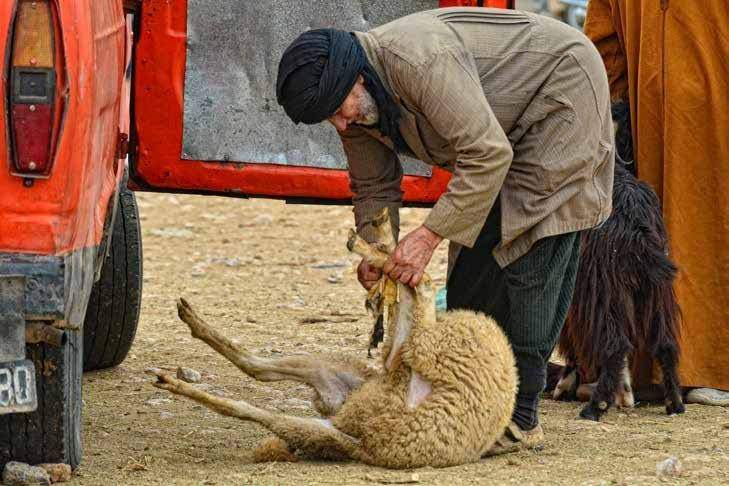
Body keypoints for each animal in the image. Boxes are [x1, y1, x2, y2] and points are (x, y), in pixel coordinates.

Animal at [553, 161, 685, 421]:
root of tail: (634, 216)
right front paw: (625, 394)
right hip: (656, 292)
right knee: (665, 344)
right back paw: (674, 403)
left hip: (601, 289)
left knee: (616, 345)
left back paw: (595, 407)